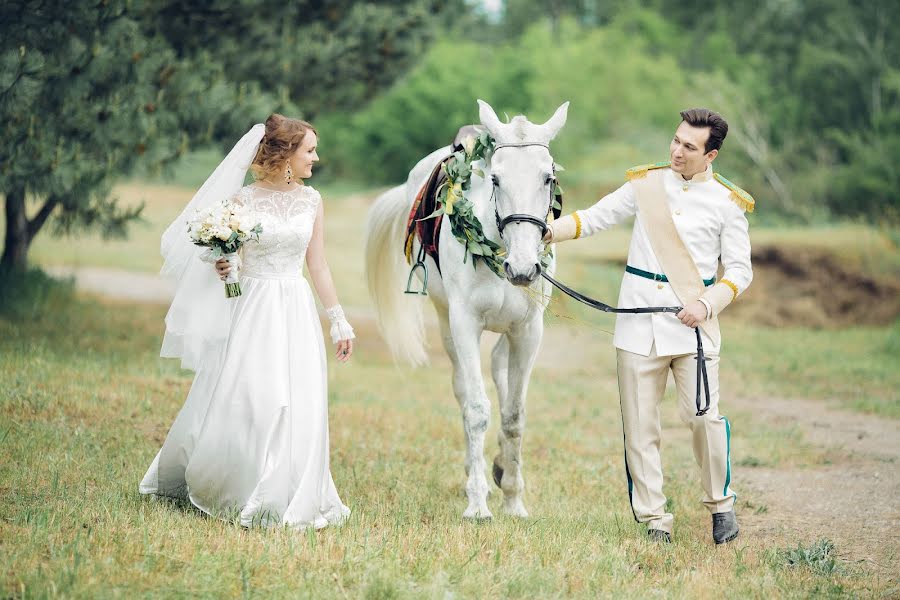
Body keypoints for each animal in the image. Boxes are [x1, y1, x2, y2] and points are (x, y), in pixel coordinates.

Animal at [362, 99, 568, 520]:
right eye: (496, 180)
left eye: (548, 178)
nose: (523, 269)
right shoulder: (465, 324)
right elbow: (476, 409)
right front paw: (478, 503)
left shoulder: (529, 331)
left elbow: (514, 416)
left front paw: (514, 500)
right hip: (447, 325)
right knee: (462, 389)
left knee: (500, 369)